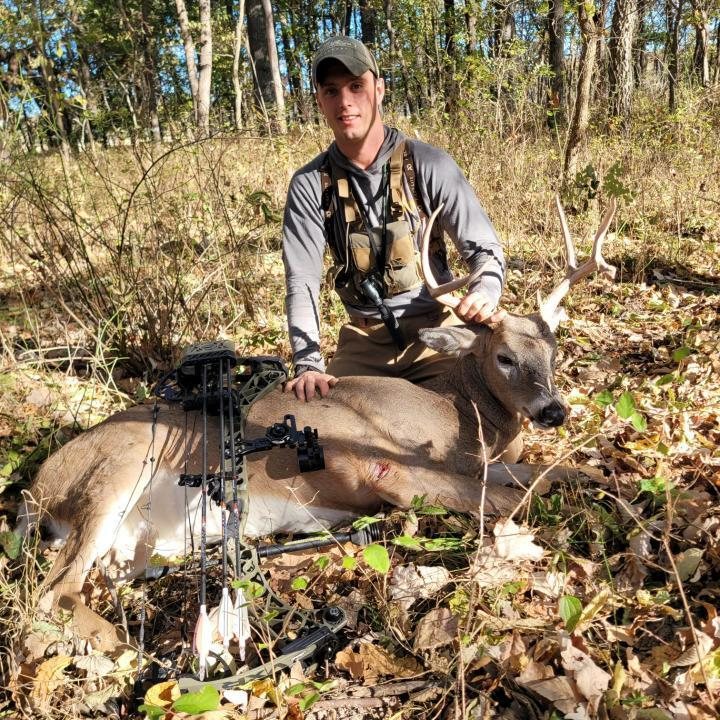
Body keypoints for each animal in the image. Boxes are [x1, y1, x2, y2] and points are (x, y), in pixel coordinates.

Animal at [18, 197, 617, 653]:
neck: (459, 421)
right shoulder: (387, 469)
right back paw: (135, 651)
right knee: (52, 591)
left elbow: (554, 472)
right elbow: (512, 497)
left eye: (554, 350)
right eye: (504, 358)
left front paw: (609, 479)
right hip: (116, 471)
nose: (554, 411)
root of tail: (33, 490)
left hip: (140, 550)